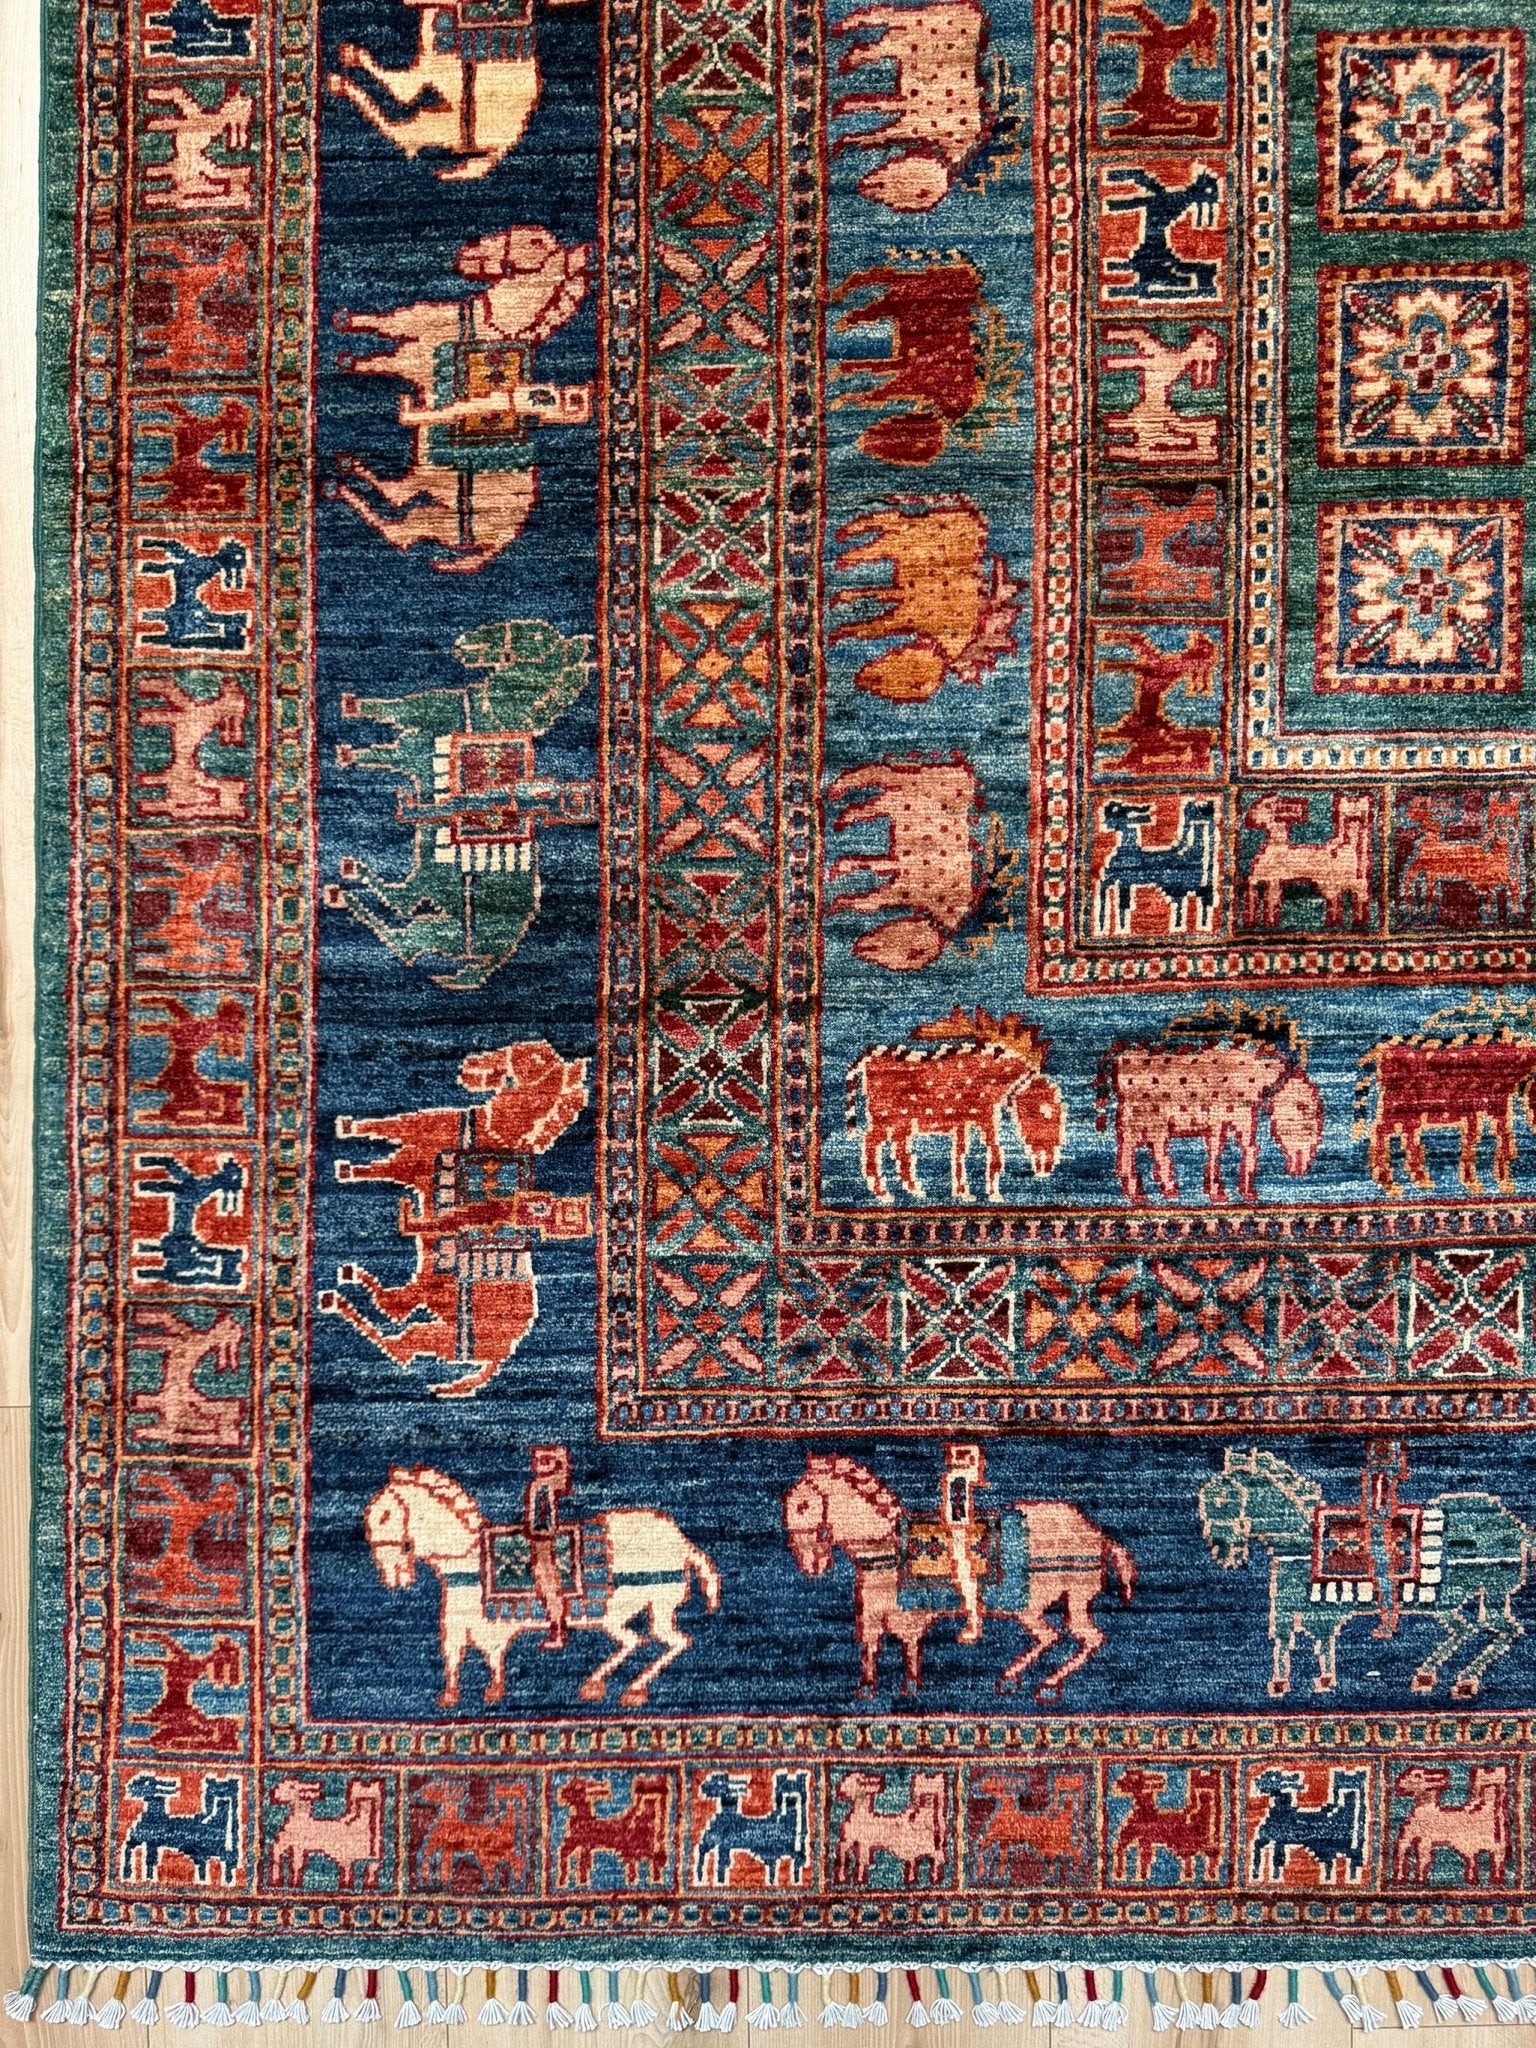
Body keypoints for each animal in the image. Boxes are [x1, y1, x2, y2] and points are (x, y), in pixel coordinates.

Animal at [364, 1467, 721, 1708]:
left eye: (384, 1515)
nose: (390, 1572)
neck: (465, 1559)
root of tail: (682, 1543)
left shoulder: (485, 1624)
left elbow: (492, 1655)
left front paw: (493, 1690)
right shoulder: (454, 1623)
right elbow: (453, 1656)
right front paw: (451, 1695)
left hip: (645, 1605)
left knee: (668, 1642)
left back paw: (629, 1689)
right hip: (627, 1611)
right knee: (639, 1641)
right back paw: (600, 1685)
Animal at [783, 1453, 1134, 1701]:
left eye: (801, 1505)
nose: (810, 1563)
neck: (884, 1547)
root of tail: (1096, 1533)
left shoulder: (907, 1614)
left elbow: (909, 1646)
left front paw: (911, 1685)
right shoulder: (869, 1613)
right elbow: (869, 1647)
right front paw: (868, 1688)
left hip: (1056, 1598)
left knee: (1086, 1638)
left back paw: (1045, 1683)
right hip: (1038, 1605)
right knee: (1052, 1637)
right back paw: (1012, 1678)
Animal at [1197, 1447, 1536, 1700]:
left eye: (1221, 1498)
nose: (1221, 1549)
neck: (1300, 1543)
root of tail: (1515, 1526)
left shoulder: (1318, 1612)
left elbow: (1321, 1643)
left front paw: (1323, 1680)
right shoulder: (1284, 1610)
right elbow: (1284, 1643)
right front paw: (1282, 1684)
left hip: (1489, 1592)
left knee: (1506, 1630)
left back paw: (1464, 1680)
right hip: (1450, 1601)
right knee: (1466, 1629)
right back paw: (1428, 1674)